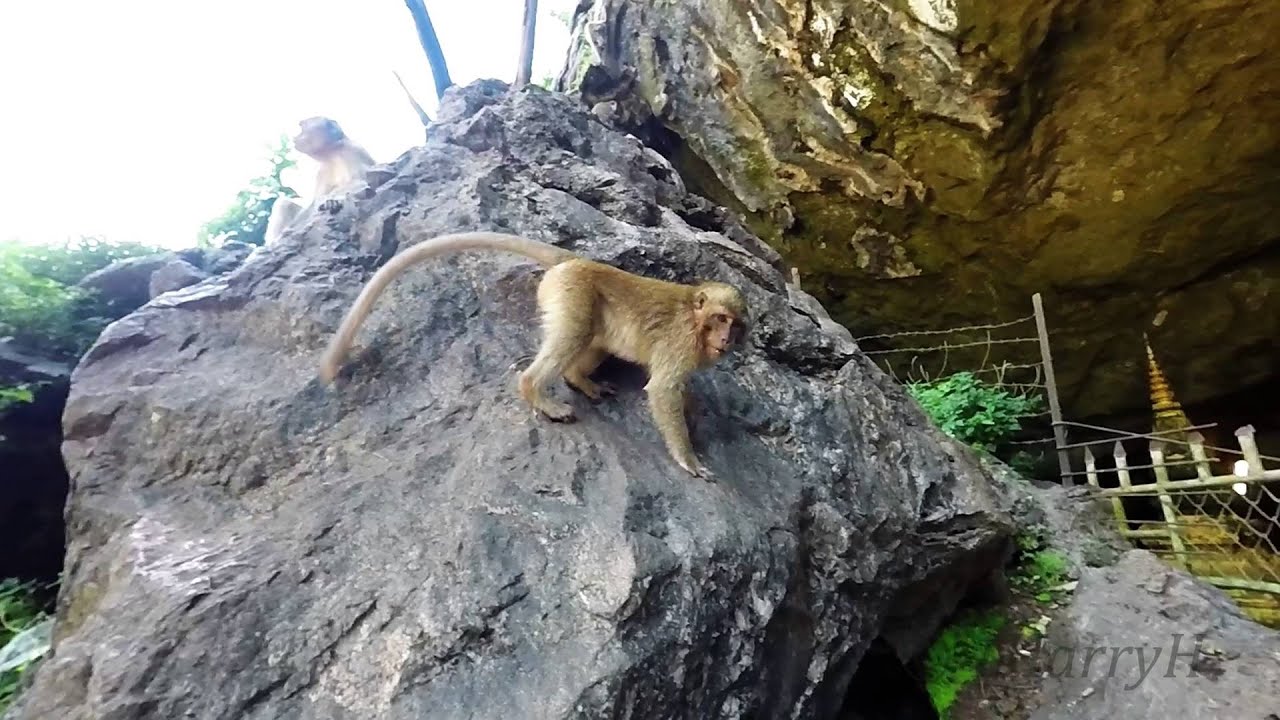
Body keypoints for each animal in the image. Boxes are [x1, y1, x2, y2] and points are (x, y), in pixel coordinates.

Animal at [318, 231, 749, 479]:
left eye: (736, 325)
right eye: (720, 319)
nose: (726, 339)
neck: (696, 320)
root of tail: (574, 260)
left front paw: (694, 413)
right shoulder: (681, 342)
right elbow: (661, 390)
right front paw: (688, 459)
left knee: (588, 341)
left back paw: (581, 381)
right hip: (572, 294)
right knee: (571, 336)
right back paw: (537, 392)